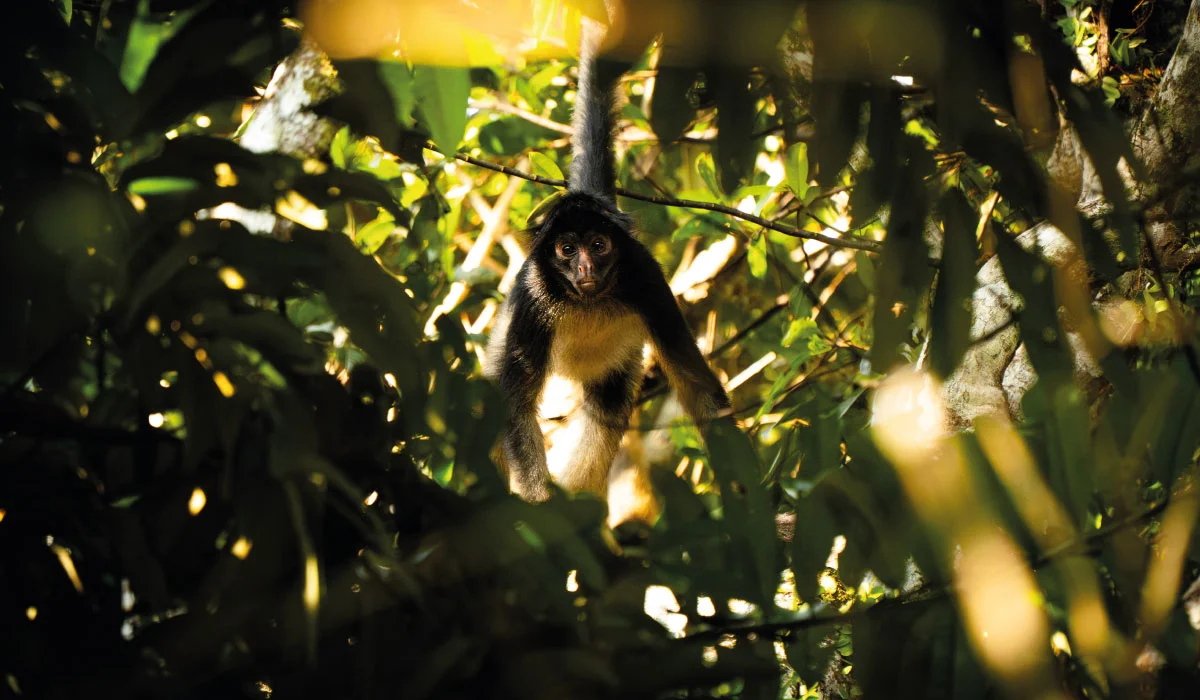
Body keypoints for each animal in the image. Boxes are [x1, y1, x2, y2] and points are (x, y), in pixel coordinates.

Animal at [484, 13, 730, 506]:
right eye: (566, 250)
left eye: (598, 246)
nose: (584, 269)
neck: (587, 301)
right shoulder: (534, 293)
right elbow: (514, 409)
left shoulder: (646, 278)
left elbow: (701, 392)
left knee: (606, 409)